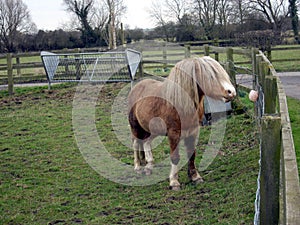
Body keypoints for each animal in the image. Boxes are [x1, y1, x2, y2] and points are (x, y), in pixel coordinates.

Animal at [127, 56, 236, 190]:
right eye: (210, 76)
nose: (231, 92)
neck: (181, 103)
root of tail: (136, 88)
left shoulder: (193, 131)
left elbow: (192, 154)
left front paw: (195, 177)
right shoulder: (174, 134)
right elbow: (175, 157)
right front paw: (174, 182)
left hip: (151, 129)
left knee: (146, 142)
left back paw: (148, 166)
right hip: (135, 127)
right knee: (136, 143)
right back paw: (138, 167)